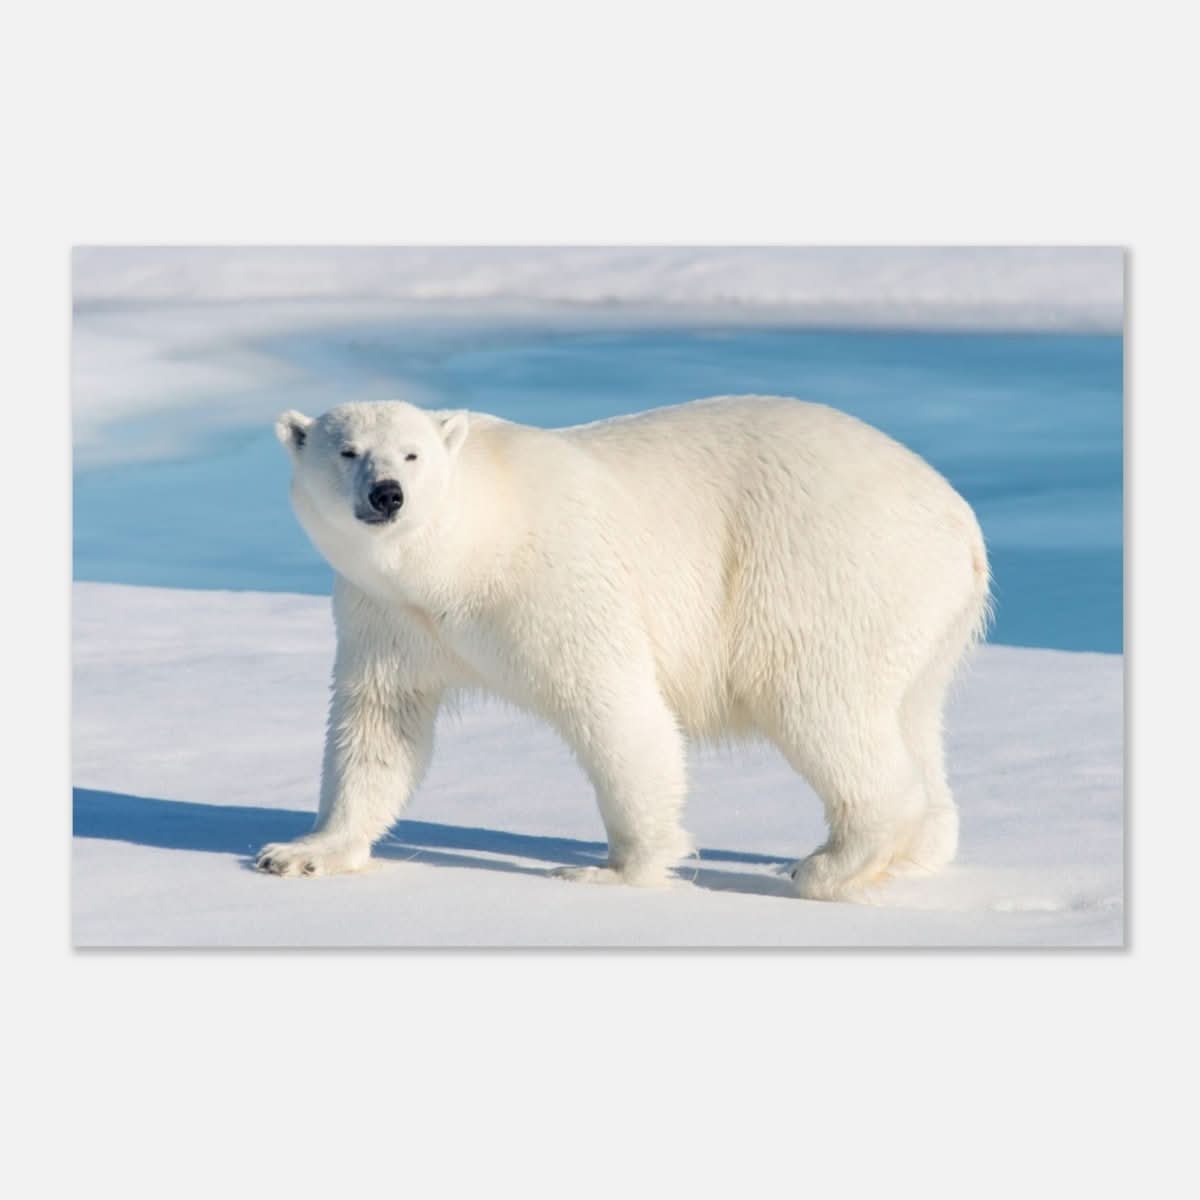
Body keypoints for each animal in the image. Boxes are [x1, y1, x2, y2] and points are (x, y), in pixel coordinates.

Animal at [256, 396, 990, 901]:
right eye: (347, 451)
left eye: (412, 454)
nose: (388, 495)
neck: (464, 552)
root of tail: (960, 519)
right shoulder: (387, 614)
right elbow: (379, 724)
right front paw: (301, 852)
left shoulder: (554, 581)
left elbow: (615, 708)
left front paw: (613, 869)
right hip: (923, 615)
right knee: (911, 715)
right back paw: (916, 852)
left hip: (826, 571)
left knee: (820, 704)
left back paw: (827, 864)